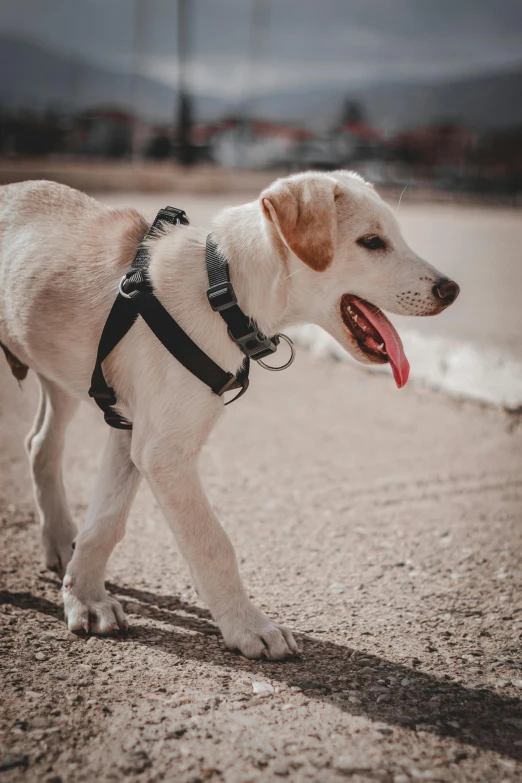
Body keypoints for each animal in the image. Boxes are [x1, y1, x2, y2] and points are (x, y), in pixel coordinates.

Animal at [0, 173, 456, 660]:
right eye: (371, 242)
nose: (451, 290)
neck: (221, 291)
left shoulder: (133, 432)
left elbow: (106, 521)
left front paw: (84, 597)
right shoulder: (164, 452)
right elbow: (212, 543)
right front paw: (248, 626)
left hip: (59, 374)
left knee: (40, 444)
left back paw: (58, 540)